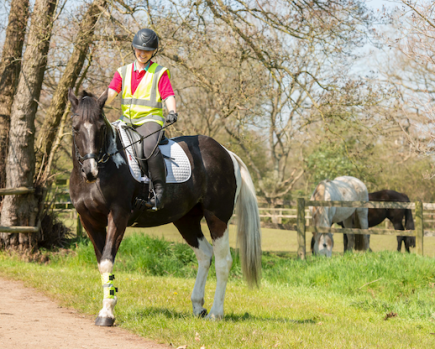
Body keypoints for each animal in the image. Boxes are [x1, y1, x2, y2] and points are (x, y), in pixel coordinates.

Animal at [68, 89, 262, 324]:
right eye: (75, 127)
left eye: (101, 127)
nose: (90, 171)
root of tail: (226, 153)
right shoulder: (89, 221)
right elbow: (102, 263)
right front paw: (108, 307)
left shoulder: (118, 216)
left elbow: (107, 261)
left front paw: (107, 313)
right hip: (186, 220)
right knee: (205, 254)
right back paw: (198, 306)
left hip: (217, 217)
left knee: (223, 261)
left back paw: (216, 313)